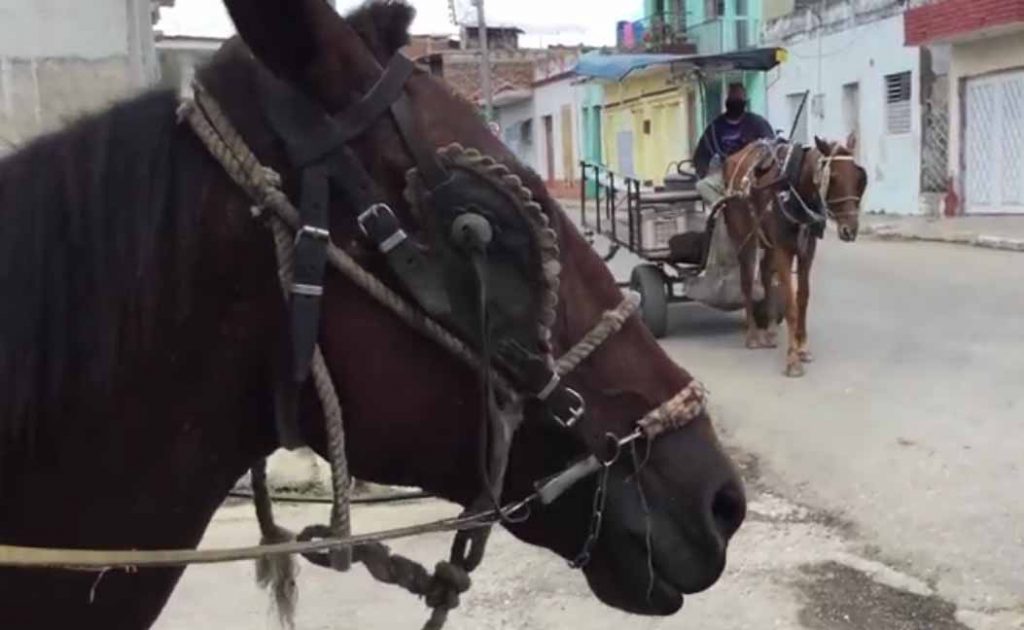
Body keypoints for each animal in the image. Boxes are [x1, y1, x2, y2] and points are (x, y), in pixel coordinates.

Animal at [720, 135, 864, 376]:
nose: (850, 230)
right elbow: (790, 303)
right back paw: (752, 335)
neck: (793, 189)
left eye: (858, 176)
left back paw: (769, 330)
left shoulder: (807, 250)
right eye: (833, 178)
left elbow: (802, 298)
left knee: (766, 274)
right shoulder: (782, 250)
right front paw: (792, 359)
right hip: (744, 238)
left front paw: (802, 347)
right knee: (747, 281)